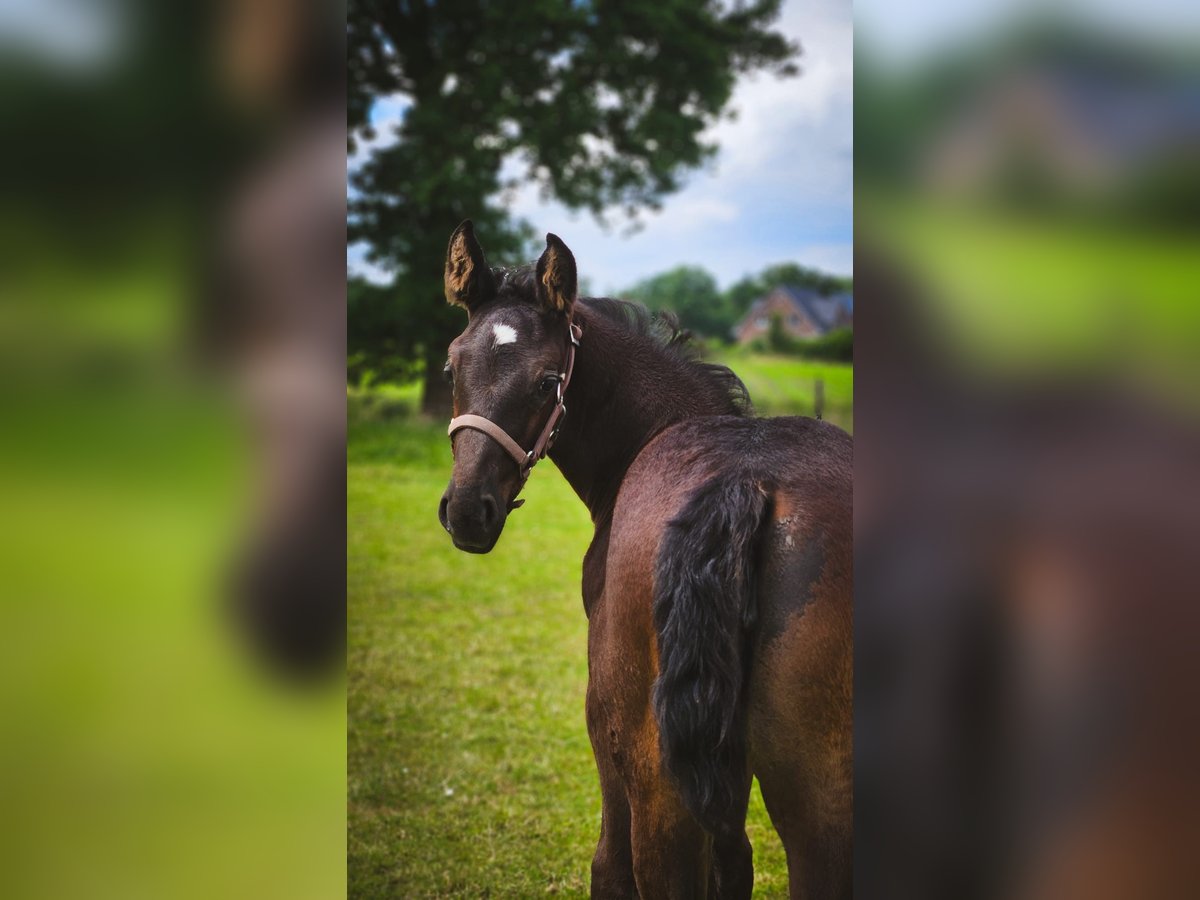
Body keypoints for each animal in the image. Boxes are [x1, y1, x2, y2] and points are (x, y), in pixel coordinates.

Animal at [436, 220, 849, 900]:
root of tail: (745, 483)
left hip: (657, 767)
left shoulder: (603, 721)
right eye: (451, 367)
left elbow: (609, 865)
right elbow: (734, 865)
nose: (469, 511)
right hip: (822, 795)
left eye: (548, 381)